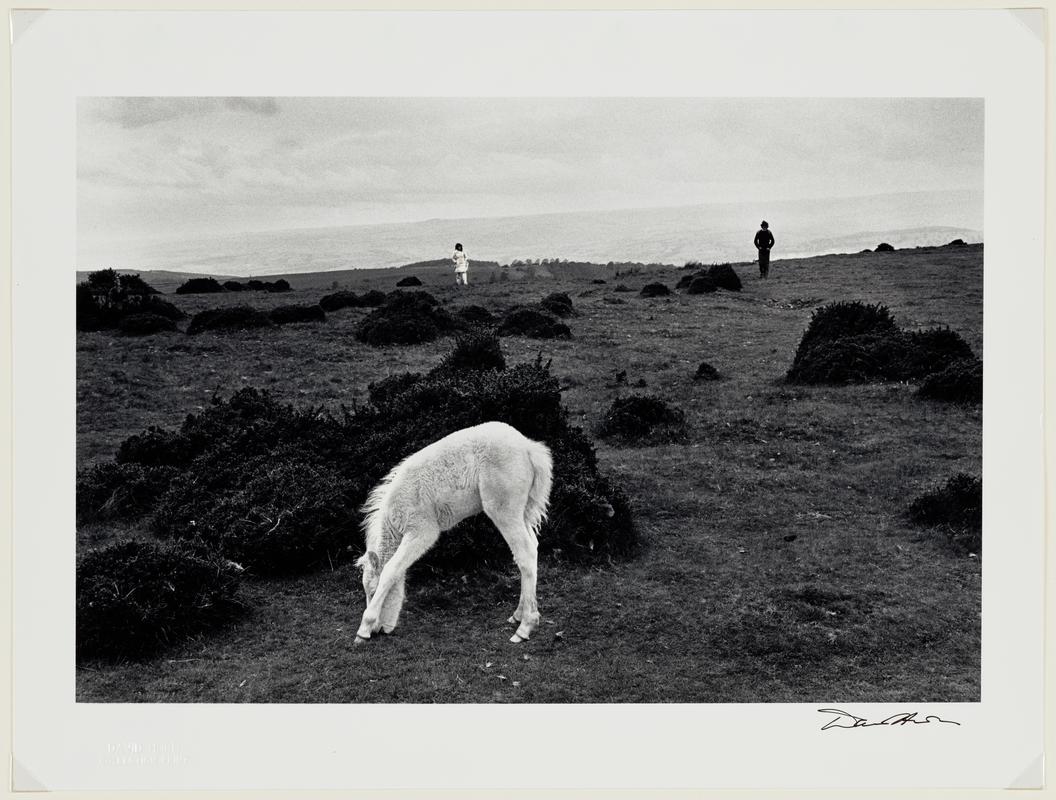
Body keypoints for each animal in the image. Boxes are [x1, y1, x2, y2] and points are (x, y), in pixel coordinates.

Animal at [354, 421, 553, 645]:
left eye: (372, 591)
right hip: (522, 512)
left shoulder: (422, 531)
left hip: (504, 510)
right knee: (532, 548)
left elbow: (390, 570)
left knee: (525, 554)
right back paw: (519, 615)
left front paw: (364, 629)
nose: (378, 630)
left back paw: (525, 627)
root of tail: (530, 448)